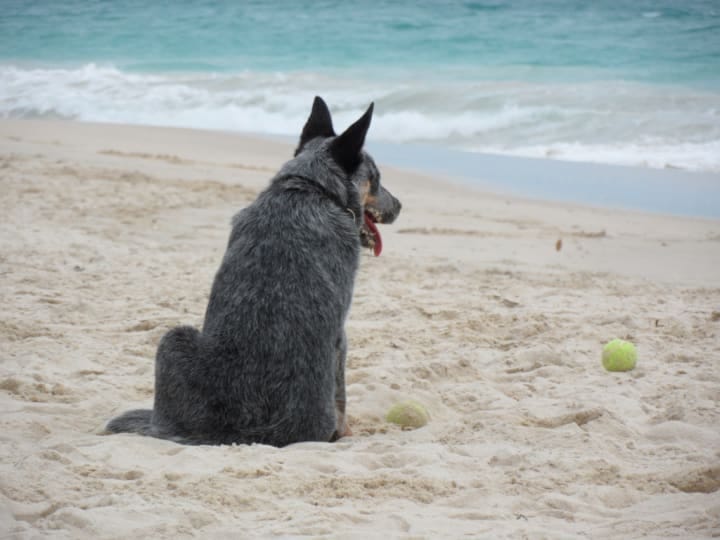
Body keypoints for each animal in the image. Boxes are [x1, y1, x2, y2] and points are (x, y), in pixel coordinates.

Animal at [107, 97, 402, 448]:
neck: (309, 188)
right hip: (173, 338)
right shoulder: (341, 337)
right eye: (377, 177)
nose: (400, 206)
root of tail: (248, 435)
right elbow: (341, 396)